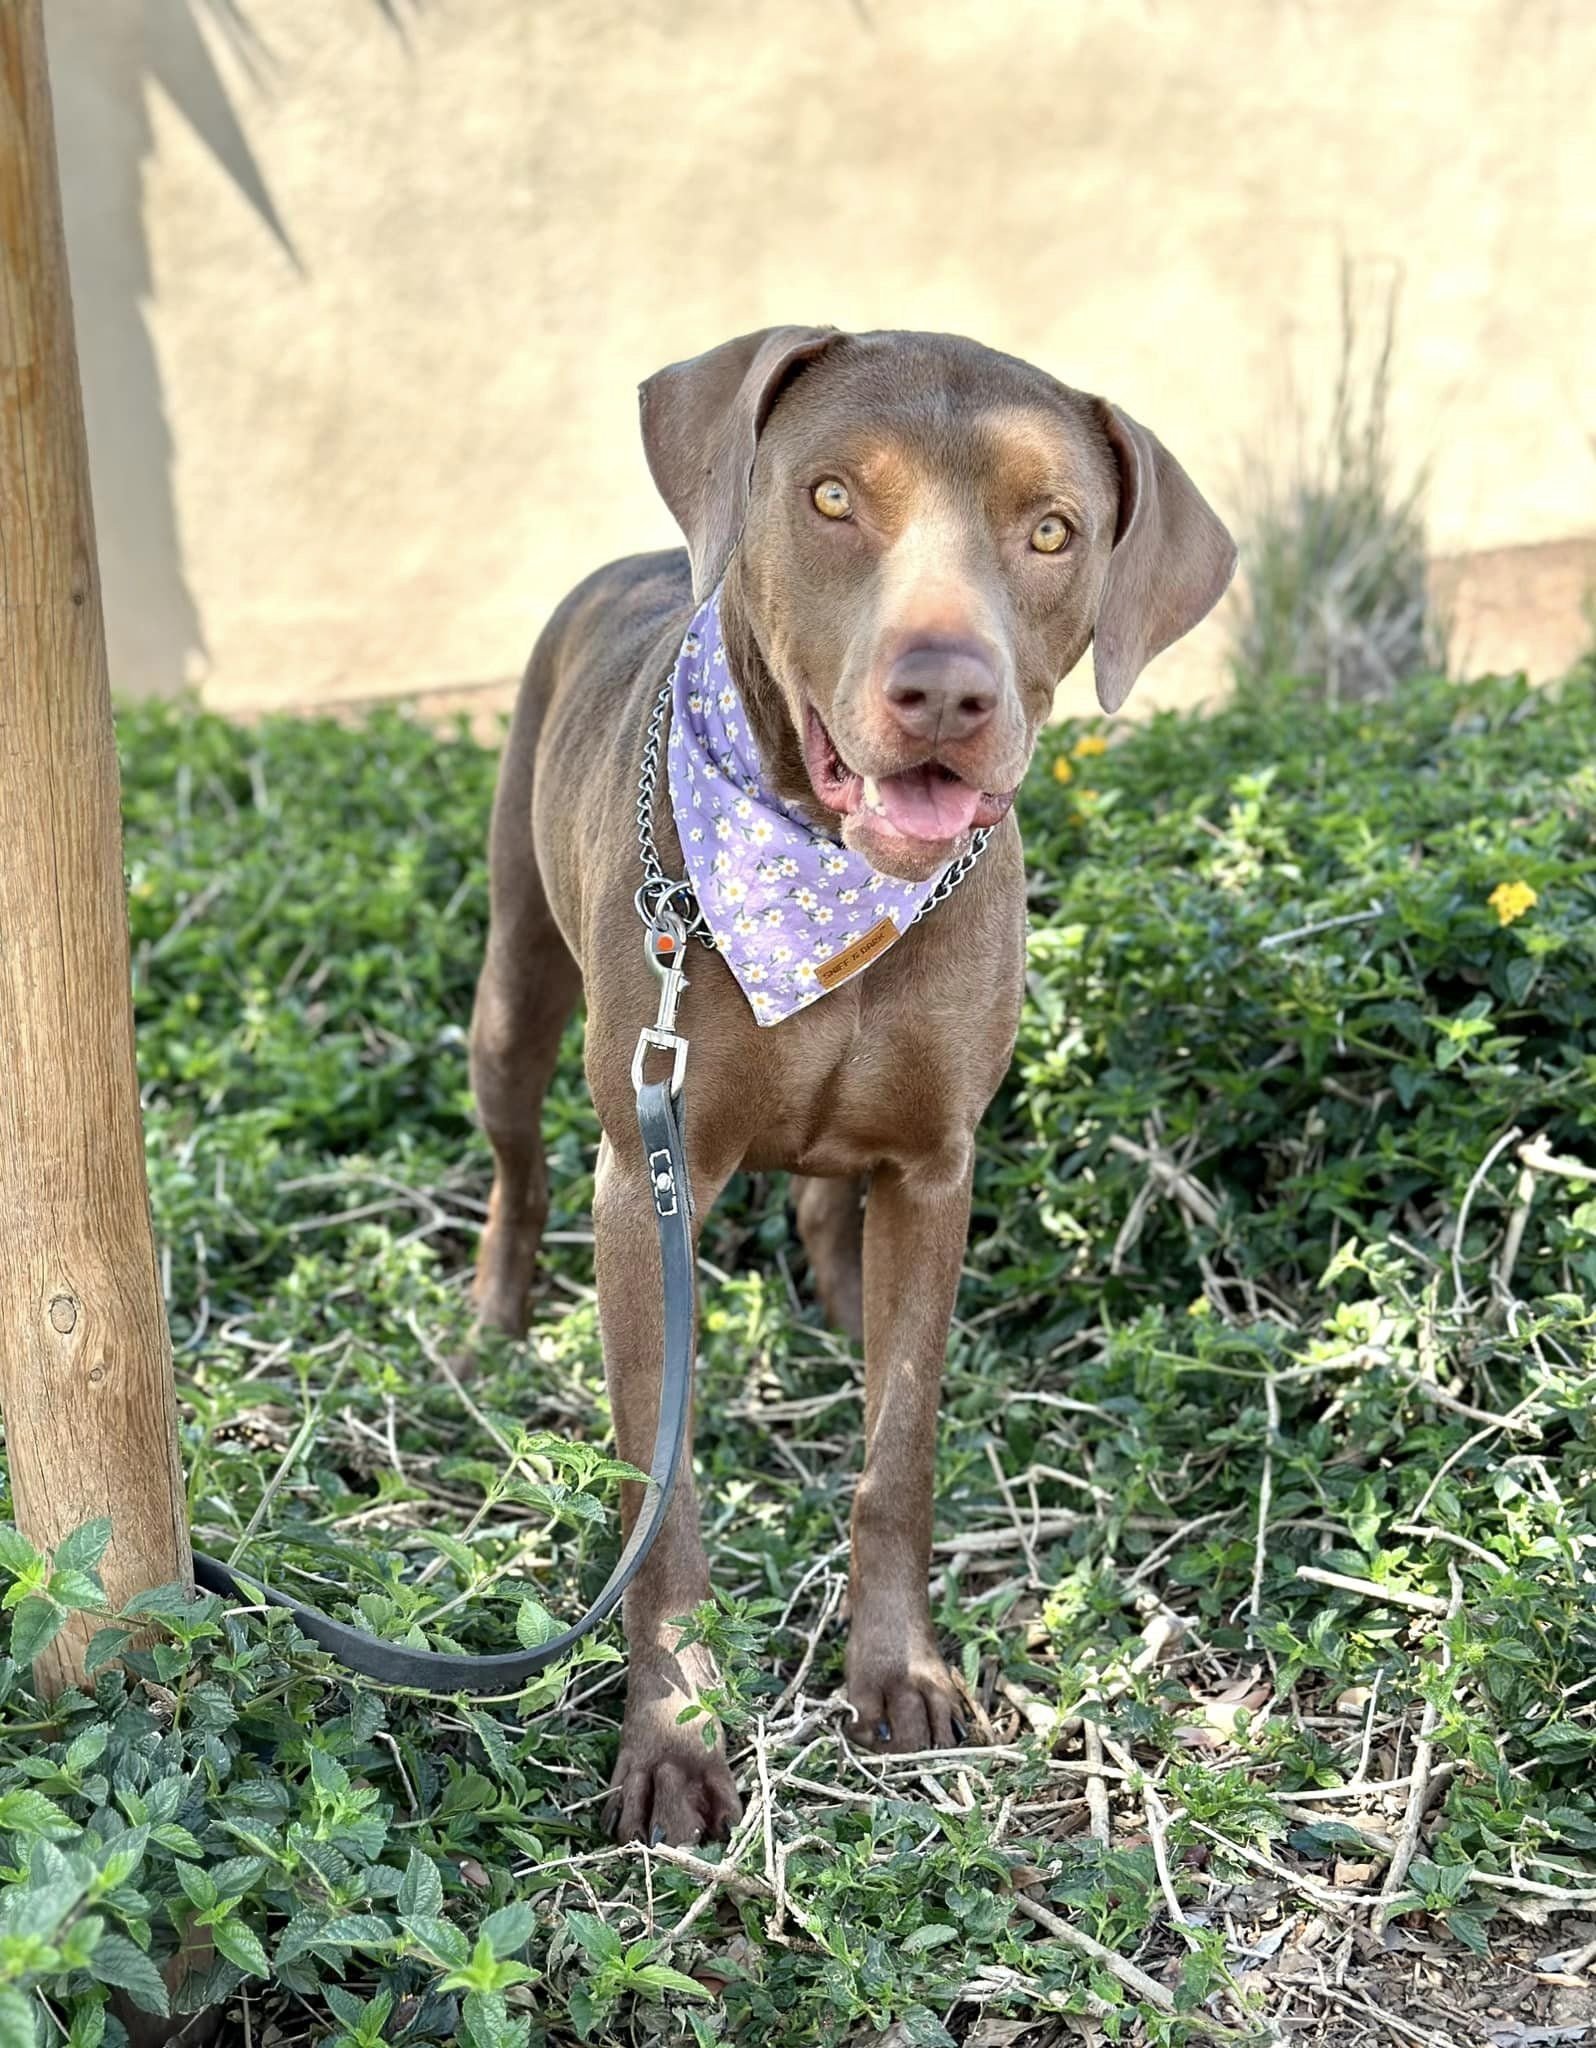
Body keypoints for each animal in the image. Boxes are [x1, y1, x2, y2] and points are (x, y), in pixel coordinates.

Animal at [465, 327, 1237, 1851]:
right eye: (829, 497)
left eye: (1052, 529)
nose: (946, 694)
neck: (824, 873)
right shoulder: (648, 1181)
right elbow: (667, 1496)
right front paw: (677, 1738)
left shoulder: (936, 1166)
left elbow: (900, 1451)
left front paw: (902, 1674)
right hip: (515, 994)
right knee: (517, 1161)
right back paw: (491, 1319)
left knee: (830, 1200)